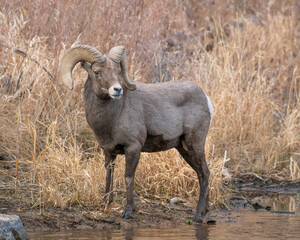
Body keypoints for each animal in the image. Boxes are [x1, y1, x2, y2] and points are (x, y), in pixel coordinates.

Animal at [59, 44, 213, 221]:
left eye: (118, 71)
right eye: (97, 72)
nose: (117, 90)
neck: (113, 117)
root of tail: (206, 99)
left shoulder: (133, 147)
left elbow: (128, 177)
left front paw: (128, 211)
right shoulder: (108, 151)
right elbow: (109, 174)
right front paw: (106, 203)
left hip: (195, 143)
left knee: (205, 173)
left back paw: (198, 216)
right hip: (183, 148)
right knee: (201, 173)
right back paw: (205, 212)